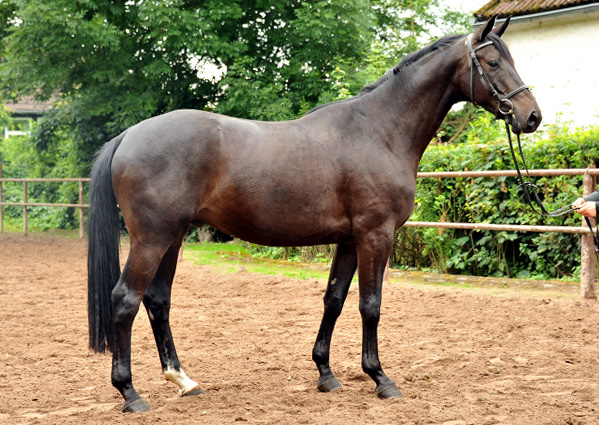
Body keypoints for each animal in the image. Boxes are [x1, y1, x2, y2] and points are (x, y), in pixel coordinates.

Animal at [88, 16, 544, 410]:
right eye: (493, 62)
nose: (532, 116)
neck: (379, 131)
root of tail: (128, 136)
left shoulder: (349, 239)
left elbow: (334, 300)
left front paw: (326, 373)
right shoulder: (376, 235)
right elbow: (370, 304)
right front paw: (381, 379)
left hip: (174, 236)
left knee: (157, 301)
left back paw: (184, 381)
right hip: (153, 238)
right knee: (125, 300)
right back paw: (130, 393)